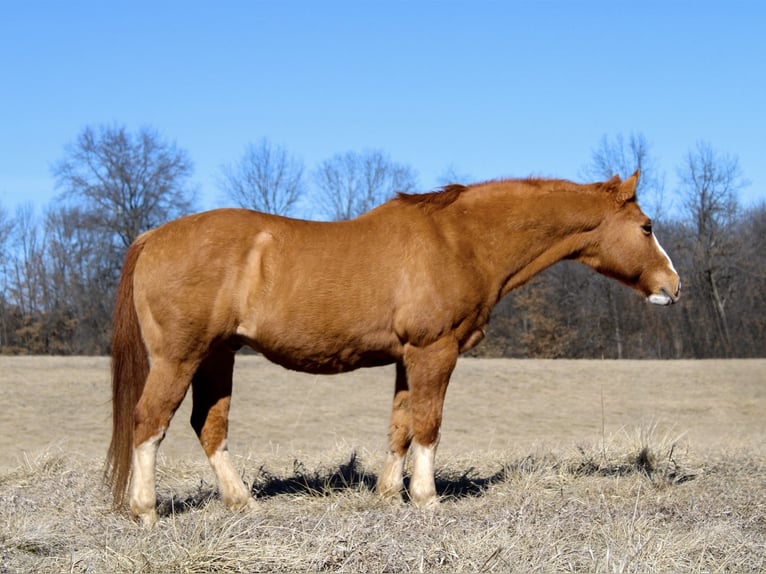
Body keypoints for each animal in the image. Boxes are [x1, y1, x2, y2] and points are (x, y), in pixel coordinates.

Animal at [105, 171, 680, 528]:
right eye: (647, 227)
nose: (674, 286)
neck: (460, 239)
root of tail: (152, 236)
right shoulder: (434, 351)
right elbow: (428, 425)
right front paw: (426, 500)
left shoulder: (408, 358)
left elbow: (400, 425)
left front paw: (388, 495)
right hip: (180, 358)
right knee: (148, 421)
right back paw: (146, 510)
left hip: (217, 356)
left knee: (208, 426)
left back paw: (241, 502)